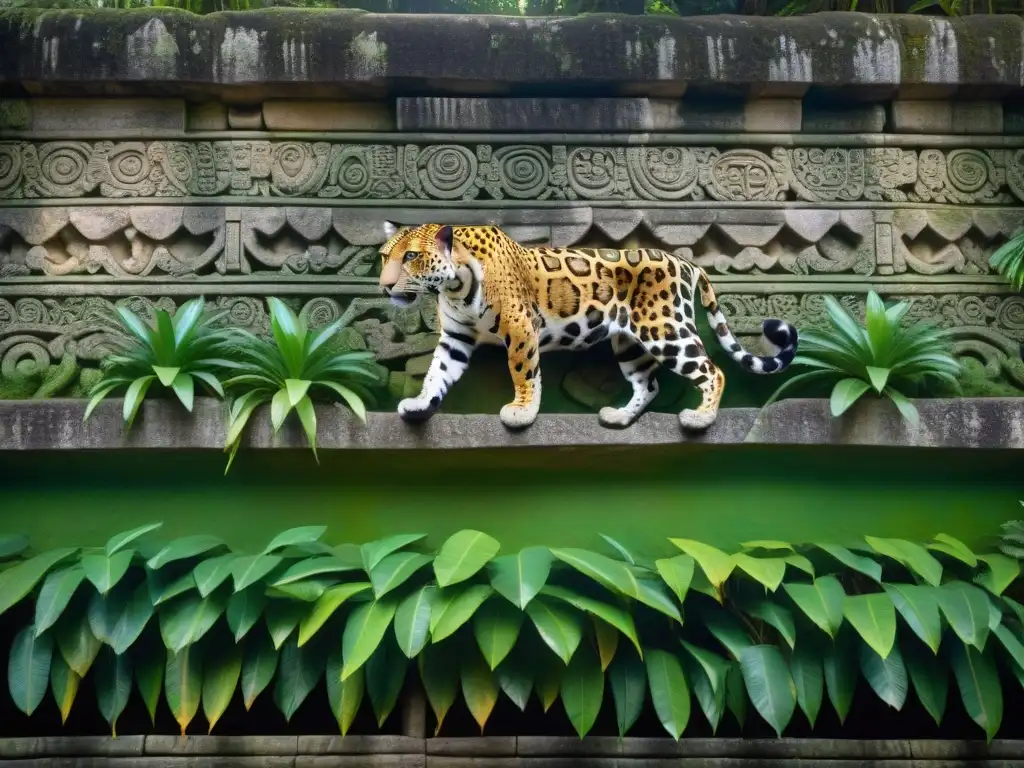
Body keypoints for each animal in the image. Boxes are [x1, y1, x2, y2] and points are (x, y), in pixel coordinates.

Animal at [378, 222, 798, 431]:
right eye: (384, 256)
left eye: (411, 256)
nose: (383, 285)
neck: (452, 286)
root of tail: (686, 261)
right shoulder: (456, 336)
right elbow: (437, 373)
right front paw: (421, 405)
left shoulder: (519, 324)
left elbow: (523, 371)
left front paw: (522, 412)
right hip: (630, 342)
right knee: (649, 383)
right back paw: (620, 417)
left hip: (663, 327)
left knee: (712, 370)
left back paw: (700, 418)